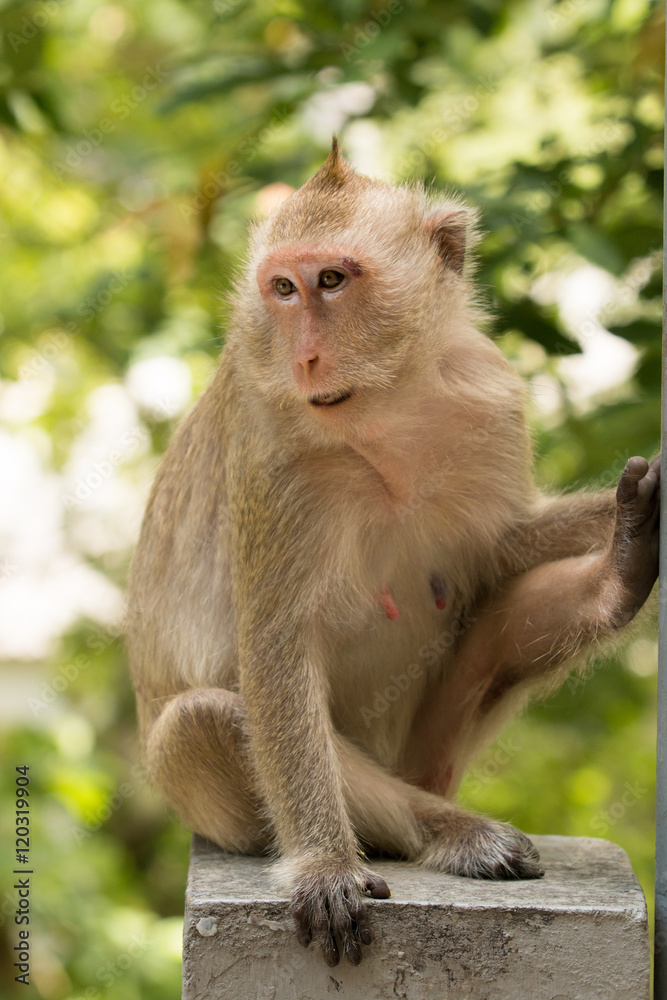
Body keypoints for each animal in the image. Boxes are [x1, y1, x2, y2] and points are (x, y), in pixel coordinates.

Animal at [126, 139, 660, 968]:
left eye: (332, 280)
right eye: (283, 288)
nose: (306, 358)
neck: (385, 407)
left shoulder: (492, 401)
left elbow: (501, 553)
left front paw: (631, 522)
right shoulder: (271, 448)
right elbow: (274, 644)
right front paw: (323, 866)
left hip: (431, 745)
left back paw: (618, 577)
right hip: (202, 799)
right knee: (204, 718)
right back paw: (449, 832)